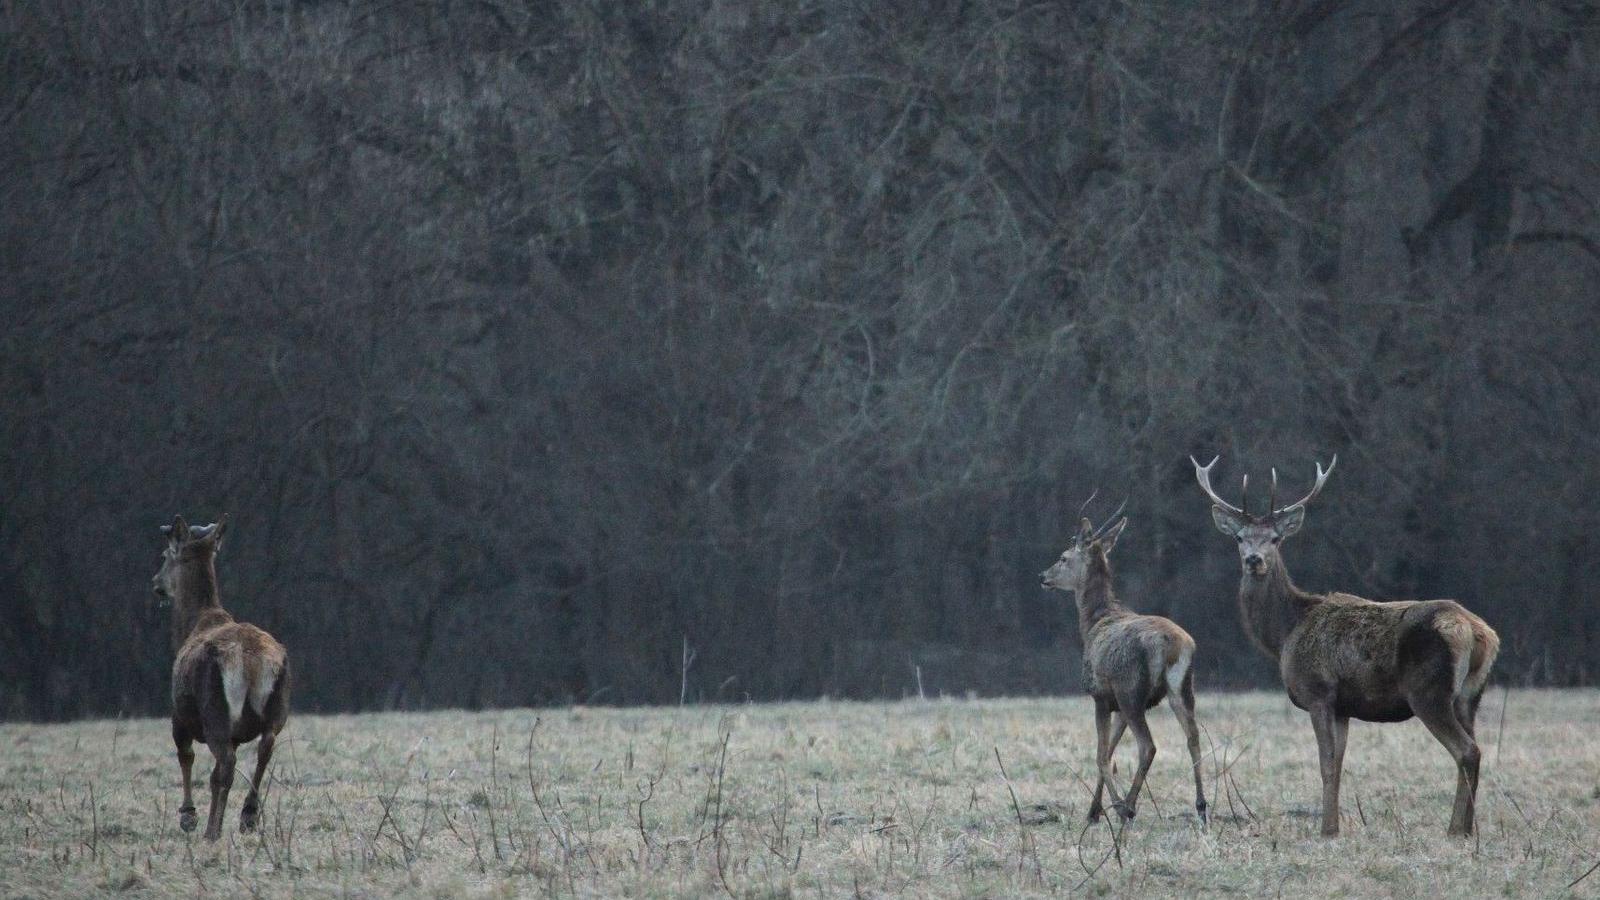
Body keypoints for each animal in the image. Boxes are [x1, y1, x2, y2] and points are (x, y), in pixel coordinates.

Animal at [151, 515, 289, 839]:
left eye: (164, 555)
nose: (156, 583)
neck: (193, 625)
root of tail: (251, 661)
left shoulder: (177, 712)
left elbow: (185, 755)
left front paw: (188, 816)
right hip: (278, 706)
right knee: (264, 749)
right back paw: (248, 816)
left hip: (215, 707)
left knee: (223, 764)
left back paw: (211, 830)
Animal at [1043, 499, 1203, 826]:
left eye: (1063, 557)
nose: (1043, 576)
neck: (1094, 622)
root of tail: (1172, 644)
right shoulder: (1116, 705)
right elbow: (1111, 753)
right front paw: (1093, 811)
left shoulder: (1101, 695)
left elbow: (1101, 755)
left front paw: (1105, 809)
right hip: (1182, 688)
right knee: (1193, 737)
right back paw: (1202, 806)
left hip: (1131, 690)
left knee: (1148, 746)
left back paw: (1127, 807)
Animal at [1190, 454, 1497, 832]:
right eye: (1239, 537)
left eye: (1275, 539)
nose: (1254, 560)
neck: (1285, 632)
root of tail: (1477, 632)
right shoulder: (1344, 707)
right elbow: (1338, 764)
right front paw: (1334, 827)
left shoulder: (1318, 692)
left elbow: (1325, 763)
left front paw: (1326, 830)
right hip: (1470, 695)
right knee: (1476, 749)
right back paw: (1468, 830)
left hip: (1429, 691)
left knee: (1466, 750)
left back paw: (1455, 830)